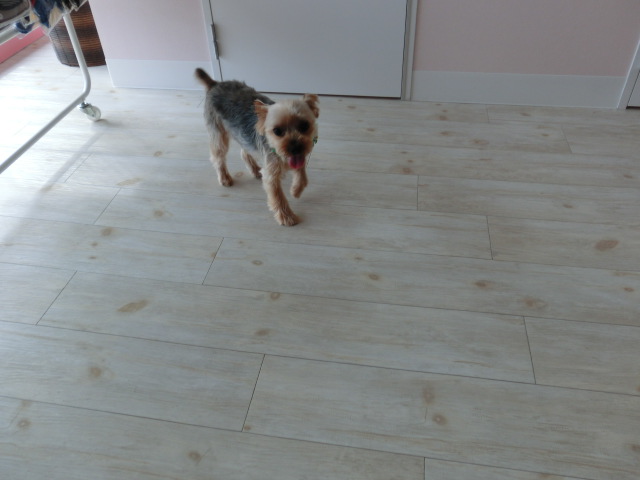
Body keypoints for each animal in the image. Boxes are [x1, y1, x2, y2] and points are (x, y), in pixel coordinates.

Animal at [194, 68, 319, 226]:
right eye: (277, 131)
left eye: (304, 126)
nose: (295, 148)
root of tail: (214, 84)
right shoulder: (271, 174)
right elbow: (278, 196)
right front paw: (287, 217)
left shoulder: (298, 157)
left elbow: (302, 174)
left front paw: (295, 191)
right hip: (217, 131)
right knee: (218, 155)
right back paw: (224, 178)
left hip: (242, 134)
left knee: (244, 151)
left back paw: (254, 169)